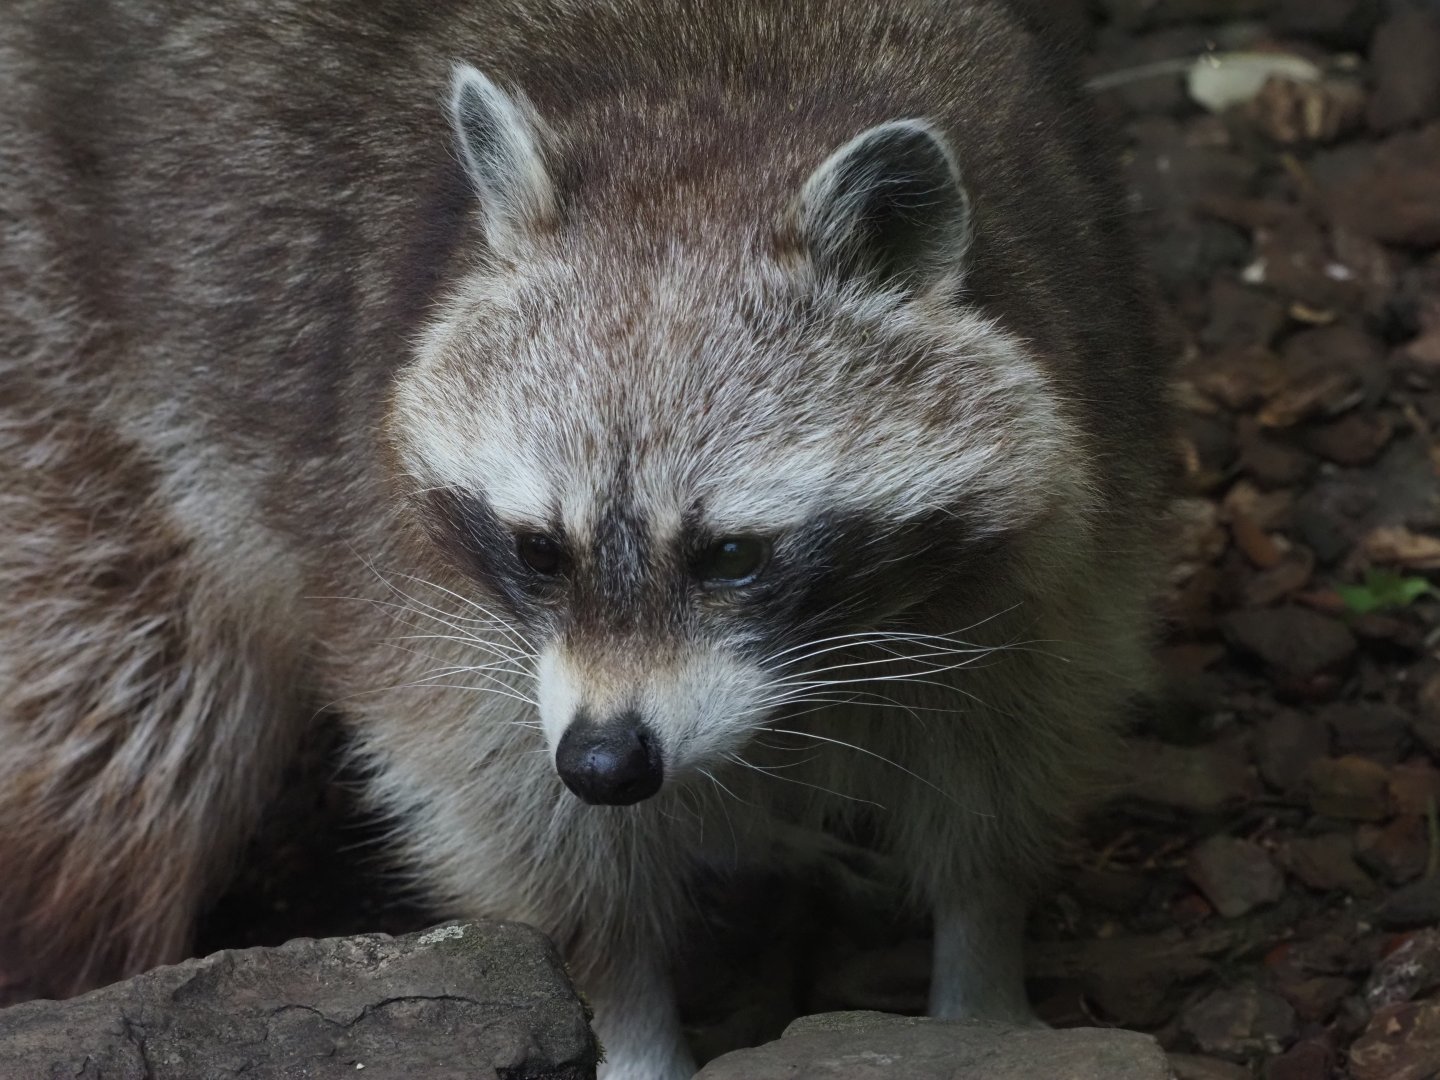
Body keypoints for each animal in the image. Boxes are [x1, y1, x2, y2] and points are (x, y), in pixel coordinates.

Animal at [0, 0, 1167, 1075]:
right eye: (538, 550)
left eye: (732, 555)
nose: (606, 762)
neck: (720, 106)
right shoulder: (409, 572)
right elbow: (524, 825)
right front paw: (631, 1022)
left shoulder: (1082, 455)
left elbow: (1003, 759)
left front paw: (983, 980)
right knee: (126, 715)